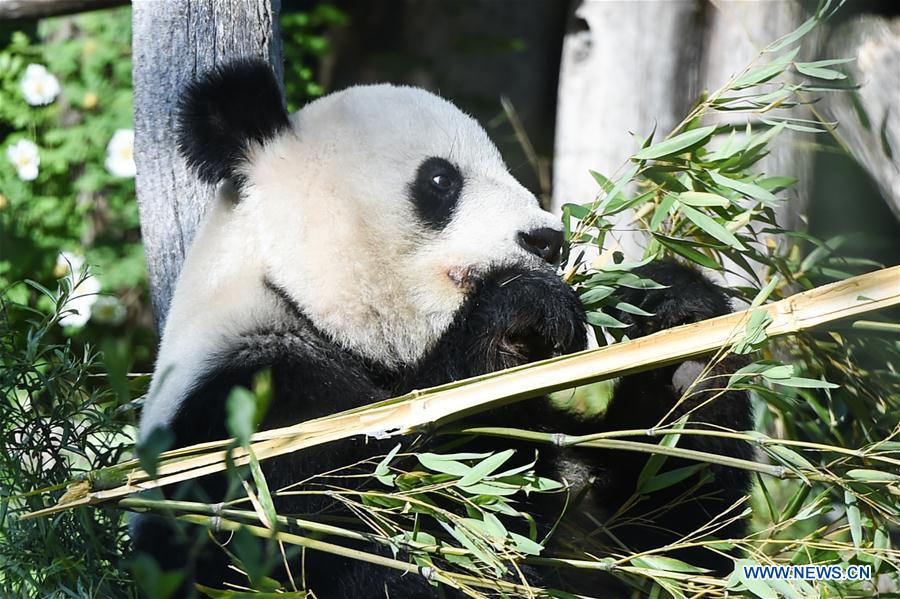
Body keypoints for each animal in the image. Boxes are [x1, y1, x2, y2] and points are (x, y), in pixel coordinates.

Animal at [132, 58, 753, 598]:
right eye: (439, 179)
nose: (547, 240)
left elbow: (666, 541)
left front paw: (679, 329)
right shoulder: (258, 418)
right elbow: (386, 534)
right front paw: (516, 314)